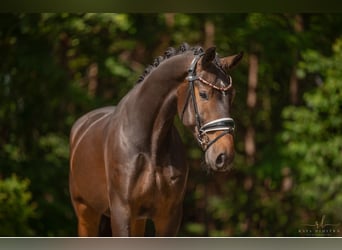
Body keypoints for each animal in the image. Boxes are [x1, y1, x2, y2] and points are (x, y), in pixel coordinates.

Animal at [69, 43, 243, 236]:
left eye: (232, 95)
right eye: (204, 94)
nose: (224, 156)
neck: (150, 147)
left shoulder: (168, 217)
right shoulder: (121, 213)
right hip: (85, 211)